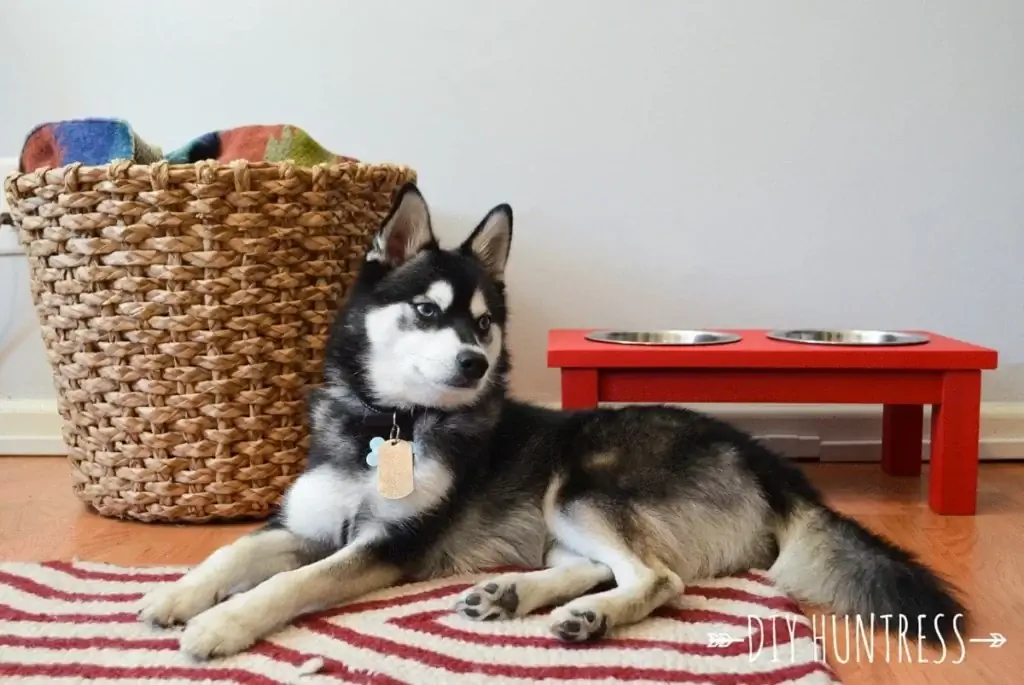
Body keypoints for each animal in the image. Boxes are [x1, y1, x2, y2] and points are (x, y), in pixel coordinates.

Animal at [138, 180, 966, 655]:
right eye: (428, 310)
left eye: (482, 323)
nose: (473, 362)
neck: (392, 423)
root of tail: (760, 453)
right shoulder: (302, 525)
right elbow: (228, 555)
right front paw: (176, 596)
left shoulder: (386, 545)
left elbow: (285, 585)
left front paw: (221, 624)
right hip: (562, 512)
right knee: (599, 564)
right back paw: (518, 594)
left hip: (579, 486)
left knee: (658, 575)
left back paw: (592, 616)